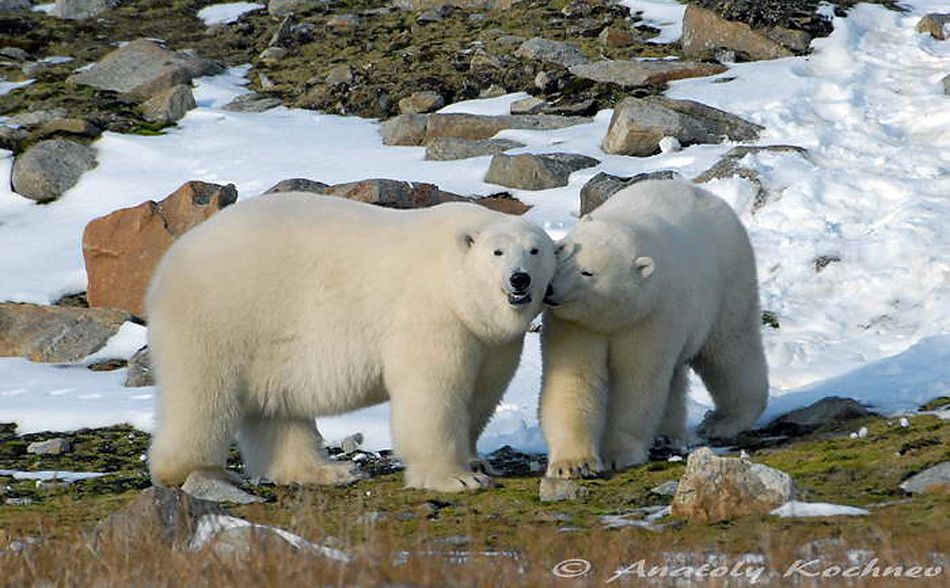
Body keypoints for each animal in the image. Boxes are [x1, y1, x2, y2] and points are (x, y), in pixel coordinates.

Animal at [149, 193, 556, 492]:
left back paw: (328, 471)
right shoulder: (430, 315)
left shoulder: (490, 339)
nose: (519, 279)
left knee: (278, 411)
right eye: (497, 252)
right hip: (222, 316)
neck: (450, 276)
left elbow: (482, 391)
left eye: (535, 250)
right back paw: (196, 470)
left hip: (270, 340)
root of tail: (173, 257)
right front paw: (458, 477)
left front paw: (475, 460)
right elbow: (434, 391)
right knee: (203, 395)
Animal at [540, 178, 768, 478]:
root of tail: (711, 197)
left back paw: (724, 421)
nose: (549, 288)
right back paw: (668, 433)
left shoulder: (651, 316)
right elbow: (574, 377)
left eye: (587, 272)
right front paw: (574, 464)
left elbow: (639, 381)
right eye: (562, 252)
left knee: (730, 351)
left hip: (730, 284)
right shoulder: (577, 324)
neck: (615, 315)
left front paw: (619, 455)